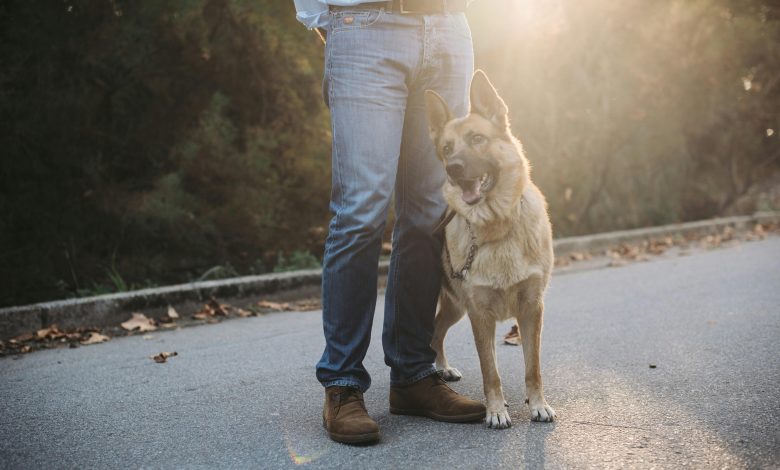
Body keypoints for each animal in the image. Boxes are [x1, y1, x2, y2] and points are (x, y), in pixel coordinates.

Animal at [426, 71, 556, 428]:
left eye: (477, 139)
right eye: (446, 148)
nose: (453, 168)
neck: (498, 227)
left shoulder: (531, 309)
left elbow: (533, 368)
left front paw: (537, 404)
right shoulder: (480, 315)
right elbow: (490, 372)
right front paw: (495, 410)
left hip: (455, 308)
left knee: (436, 333)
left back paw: (442, 367)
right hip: (455, 306)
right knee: (431, 334)